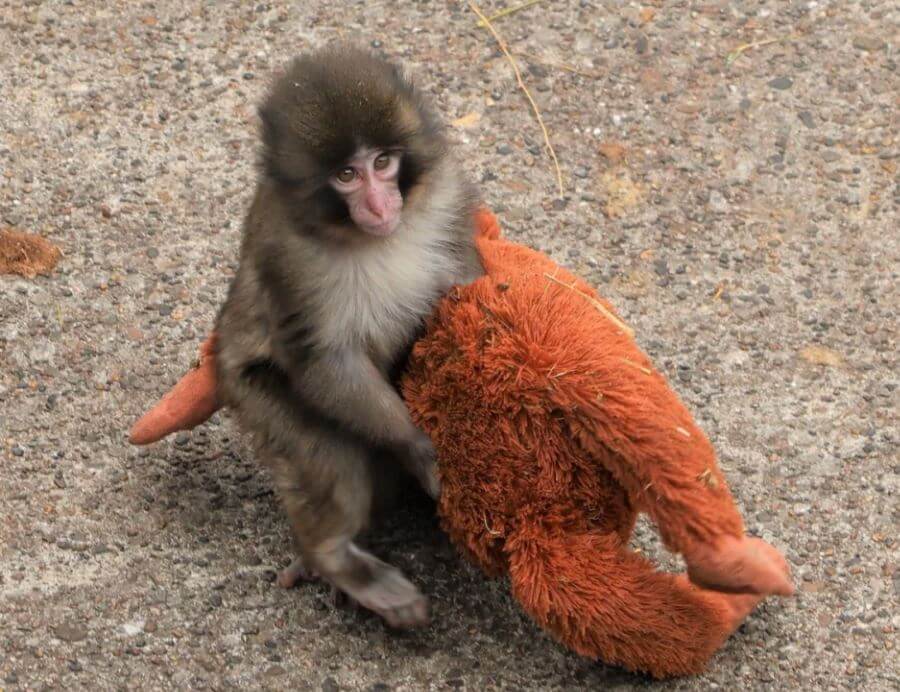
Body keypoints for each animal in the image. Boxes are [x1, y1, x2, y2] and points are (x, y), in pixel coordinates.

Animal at [214, 46, 484, 628]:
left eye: (383, 163)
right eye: (345, 175)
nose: (380, 206)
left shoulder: (448, 197)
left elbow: (468, 285)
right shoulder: (287, 257)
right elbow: (324, 361)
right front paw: (419, 448)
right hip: (251, 393)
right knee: (330, 453)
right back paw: (335, 558)